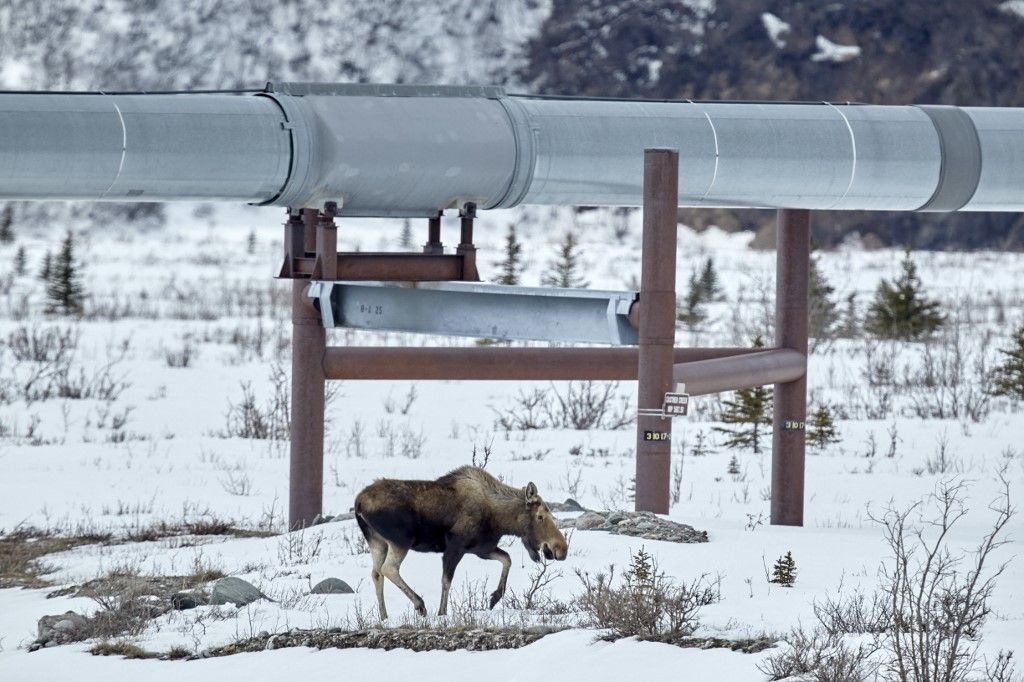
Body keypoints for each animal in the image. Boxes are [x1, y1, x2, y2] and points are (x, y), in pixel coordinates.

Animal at [356, 466, 573, 614]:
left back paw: (384, 617)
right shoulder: (455, 547)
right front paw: (442, 613)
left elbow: (507, 559)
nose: (561, 548)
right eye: (540, 516)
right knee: (388, 569)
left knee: (376, 573)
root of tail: (358, 503)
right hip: (401, 541)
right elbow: (446, 580)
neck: (500, 519)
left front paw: (494, 598)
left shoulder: (481, 548)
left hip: (377, 541)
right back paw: (419, 604)